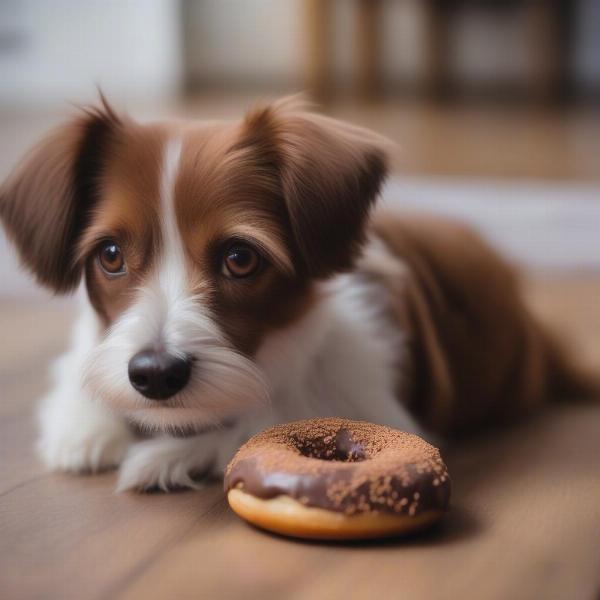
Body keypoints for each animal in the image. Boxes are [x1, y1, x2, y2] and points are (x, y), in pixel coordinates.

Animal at [0, 96, 592, 490]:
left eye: (240, 258)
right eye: (110, 256)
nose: (155, 374)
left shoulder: (382, 418)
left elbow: (258, 429)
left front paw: (162, 458)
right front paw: (85, 429)